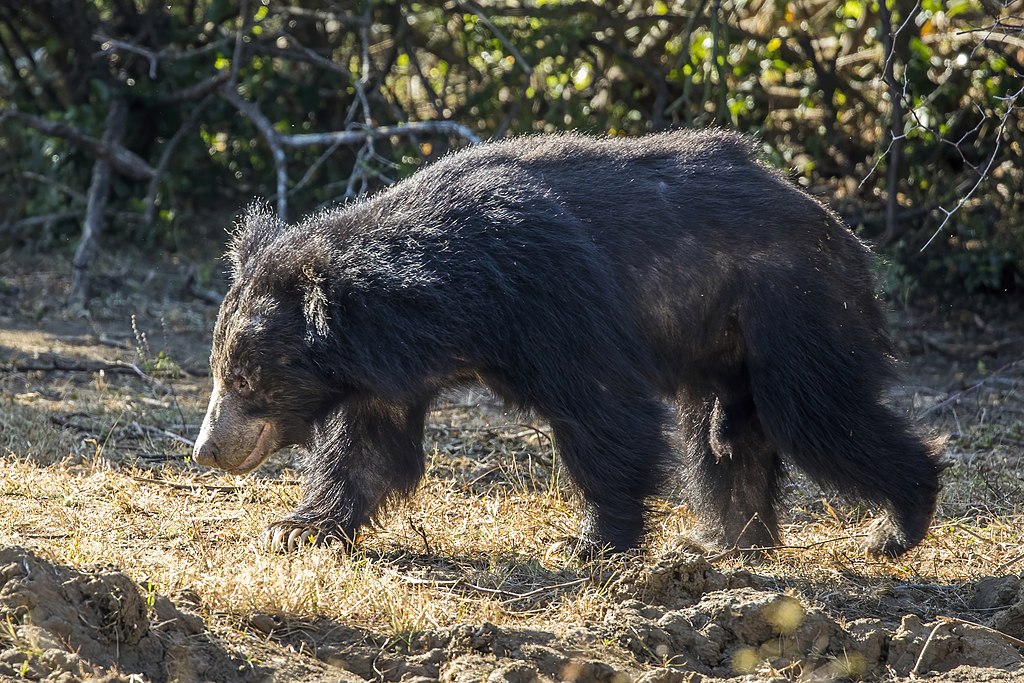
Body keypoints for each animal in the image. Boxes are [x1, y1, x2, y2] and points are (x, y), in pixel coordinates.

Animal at [192, 129, 942, 561]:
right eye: (220, 371)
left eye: (247, 378)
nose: (206, 451)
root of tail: (839, 228)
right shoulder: (390, 373)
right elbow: (369, 452)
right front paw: (296, 529)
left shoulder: (550, 292)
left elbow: (604, 409)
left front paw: (592, 541)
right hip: (722, 338)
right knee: (724, 436)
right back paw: (725, 538)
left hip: (792, 304)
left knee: (816, 414)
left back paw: (894, 526)